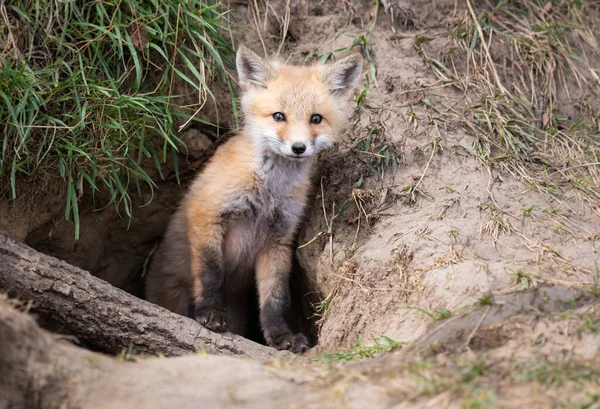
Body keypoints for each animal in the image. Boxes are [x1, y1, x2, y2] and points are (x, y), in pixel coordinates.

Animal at [146, 45, 360, 350]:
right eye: (278, 116)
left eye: (316, 118)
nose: (298, 148)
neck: (268, 192)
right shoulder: (207, 214)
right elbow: (211, 272)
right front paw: (210, 311)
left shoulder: (278, 239)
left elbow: (275, 296)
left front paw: (280, 336)